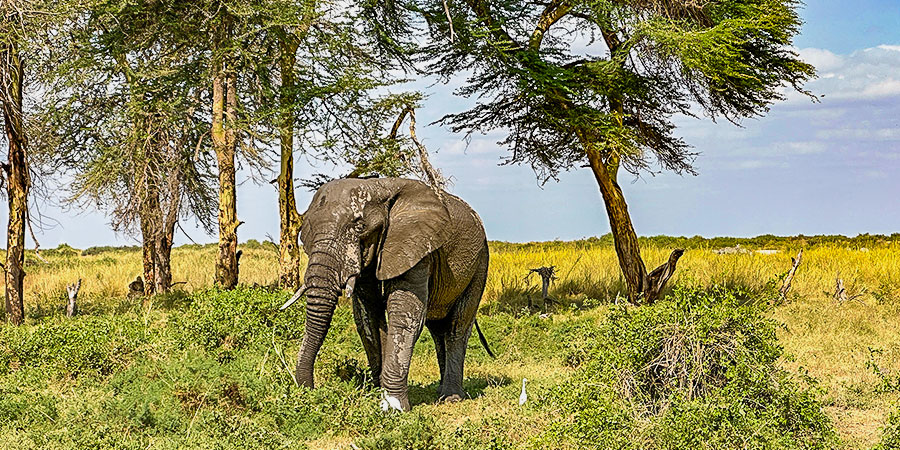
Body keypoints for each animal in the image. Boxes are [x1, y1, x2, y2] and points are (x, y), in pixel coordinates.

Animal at [280, 176, 492, 412]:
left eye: (360, 226)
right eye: (308, 227)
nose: (309, 389)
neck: (377, 186)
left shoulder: (416, 246)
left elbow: (405, 314)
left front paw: (393, 406)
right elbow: (367, 317)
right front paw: (376, 393)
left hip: (480, 263)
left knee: (457, 327)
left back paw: (451, 397)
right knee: (438, 331)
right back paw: (440, 391)